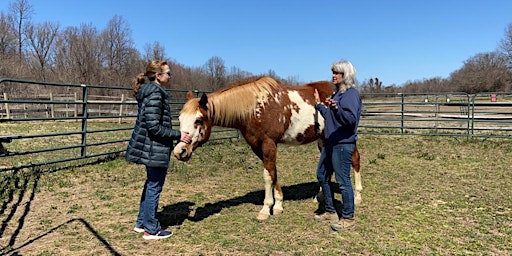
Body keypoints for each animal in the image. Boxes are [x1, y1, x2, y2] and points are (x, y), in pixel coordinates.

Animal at [172, 76, 360, 220]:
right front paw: (278, 206)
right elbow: (272, 173)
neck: (255, 108)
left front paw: (265, 209)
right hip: (323, 140)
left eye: (198, 120)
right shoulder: (258, 146)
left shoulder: (269, 144)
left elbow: (267, 176)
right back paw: (319, 196)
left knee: (355, 159)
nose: (179, 151)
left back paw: (358, 196)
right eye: (180, 119)